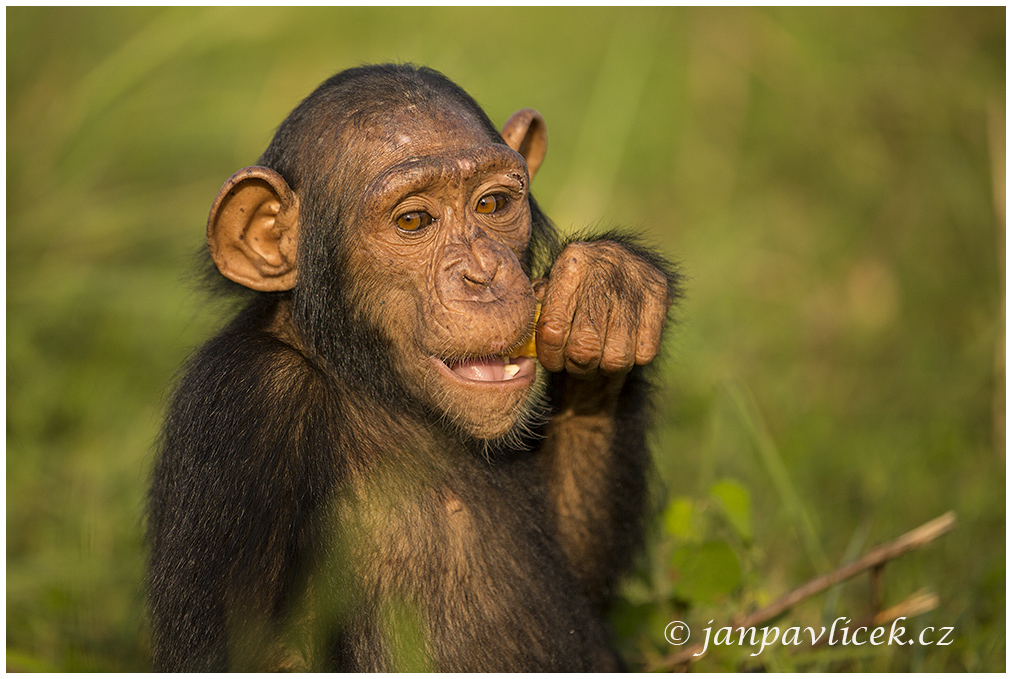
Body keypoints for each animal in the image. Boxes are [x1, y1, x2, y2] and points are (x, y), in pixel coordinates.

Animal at [146, 65, 676, 675]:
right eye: (414, 220)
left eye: (492, 205)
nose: (483, 273)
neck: (371, 383)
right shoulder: (244, 408)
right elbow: (253, 650)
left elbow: (582, 569)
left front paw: (607, 291)